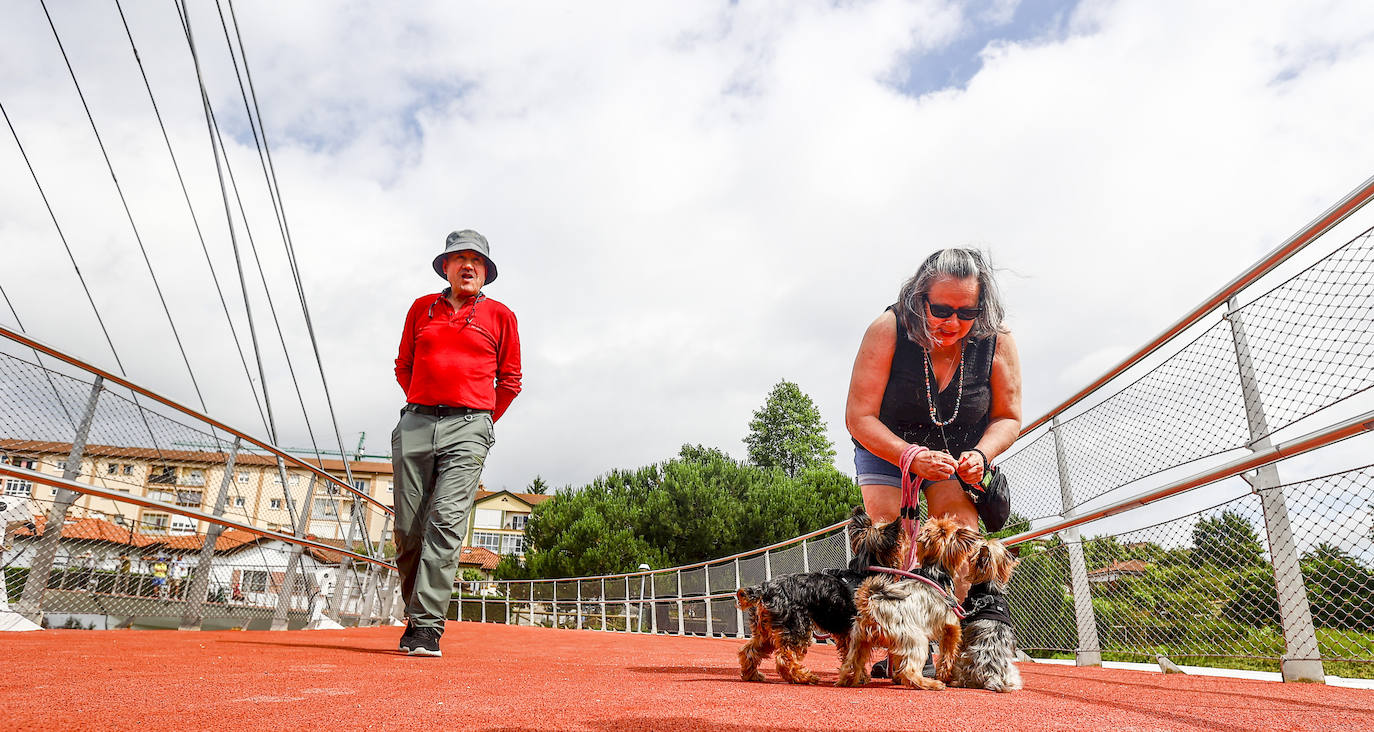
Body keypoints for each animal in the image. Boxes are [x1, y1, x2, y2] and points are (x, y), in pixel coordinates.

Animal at [736, 505, 906, 681]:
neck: (863, 572)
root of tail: (765, 588)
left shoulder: (847, 633)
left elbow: (850, 656)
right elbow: (856, 656)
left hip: (766, 630)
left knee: (749, 651)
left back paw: (752, 675)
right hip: (795, 626)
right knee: (784, 657)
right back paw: (804, 677)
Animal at [829, 516, 983, 686]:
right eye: (944, 530)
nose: (957, 527)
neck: (935, 571)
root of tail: (870, 606)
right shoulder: (951, 626)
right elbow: (948, 654)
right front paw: (944, 675)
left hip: (860, 641)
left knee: (850, 666)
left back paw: (849, 680)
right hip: (916, 638)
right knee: (910, 670)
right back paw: (930, 684)